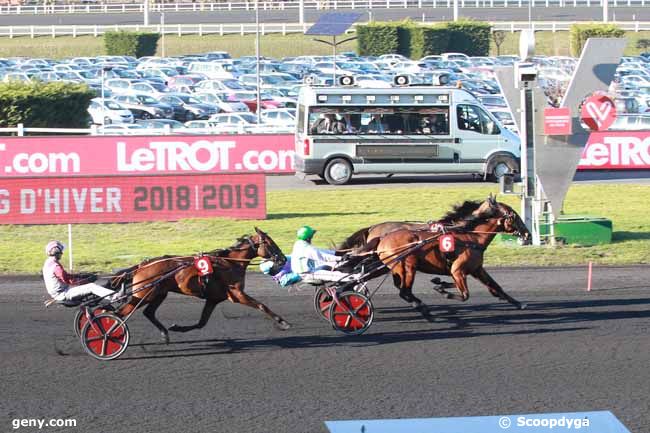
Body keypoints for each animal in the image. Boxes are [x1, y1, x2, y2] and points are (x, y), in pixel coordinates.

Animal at [115, 228, 290, 342]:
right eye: (269, 242)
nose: (283, 259)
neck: (230, 263)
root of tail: (142, 265)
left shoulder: (213, 299)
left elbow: (201, 323)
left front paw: (177, 328)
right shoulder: (237, 294)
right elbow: (261, 306)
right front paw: (283, 322)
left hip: (158, 293)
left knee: (148, 313)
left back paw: (164, 333)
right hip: (143, 295)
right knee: (119, 313)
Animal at [354, 197, 532, 316]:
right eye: (513, 215)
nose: (528, 234)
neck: (471, 237)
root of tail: (380, 236)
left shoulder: (476, 269)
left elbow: (495, 287)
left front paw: (519, 303)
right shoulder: (457, 270)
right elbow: (465, 294)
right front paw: (443, 290)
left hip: (393, 267)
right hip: (406, 265)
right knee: (403, 291)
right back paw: (421, 307)